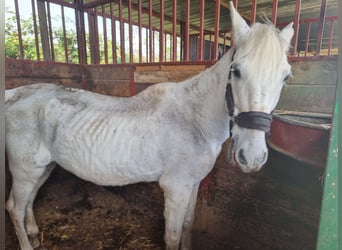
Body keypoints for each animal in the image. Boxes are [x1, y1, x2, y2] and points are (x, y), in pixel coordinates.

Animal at [5, 3, 294, 250]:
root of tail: (12, 96)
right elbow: (172, 237)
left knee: (28, 201)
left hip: (42, 169)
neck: (193, 119)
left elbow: (188, 225)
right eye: (236, 70)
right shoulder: (175, 188)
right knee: (14, 208)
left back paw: (35, 236)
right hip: (24, 171)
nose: (252, 157)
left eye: (286, 77)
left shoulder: (193, 184)